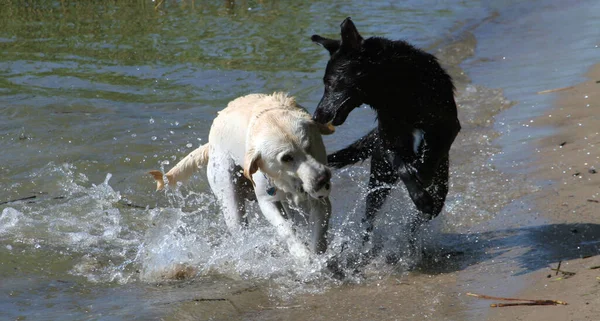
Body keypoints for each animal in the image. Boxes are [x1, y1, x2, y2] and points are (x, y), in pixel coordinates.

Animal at [149, 91, 336, 258]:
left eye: (309, 145)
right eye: (286, 158)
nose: (323, 179)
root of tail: (210, 143)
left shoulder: (320, 201)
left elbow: (318, 234)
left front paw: (318, 259)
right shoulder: (267, 201)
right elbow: (285, 230)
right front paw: (302, 255)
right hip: (230, 202)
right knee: (240, 228)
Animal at [312, 18, 462, 245]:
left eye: (329, 82)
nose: (316, 116)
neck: (394, 89)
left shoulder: (447, 125)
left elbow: (429, 155)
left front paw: (421, 173)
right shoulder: (389, 140)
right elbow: (401, 165)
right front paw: (418, 190)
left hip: (440, 187)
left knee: (423, 216)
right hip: (379, 179)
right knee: (369, 218)